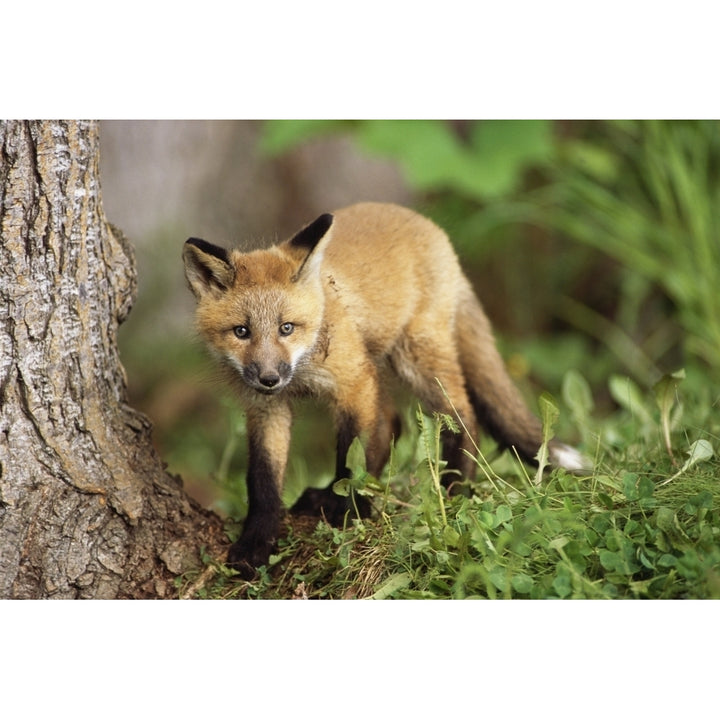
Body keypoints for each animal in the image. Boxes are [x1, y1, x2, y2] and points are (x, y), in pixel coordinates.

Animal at [181, 202, 584, 580]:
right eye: (241, 332)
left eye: (286, 328)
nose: (268, 378)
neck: (303, 369)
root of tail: (425, 224)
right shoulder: (267, 408)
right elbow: (262, 480)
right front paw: (257, 542)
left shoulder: (354, 383)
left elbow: (352, 457)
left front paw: (348, 511)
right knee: (392, 422)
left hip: (415, 359)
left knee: (462, 415)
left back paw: (454, 492)